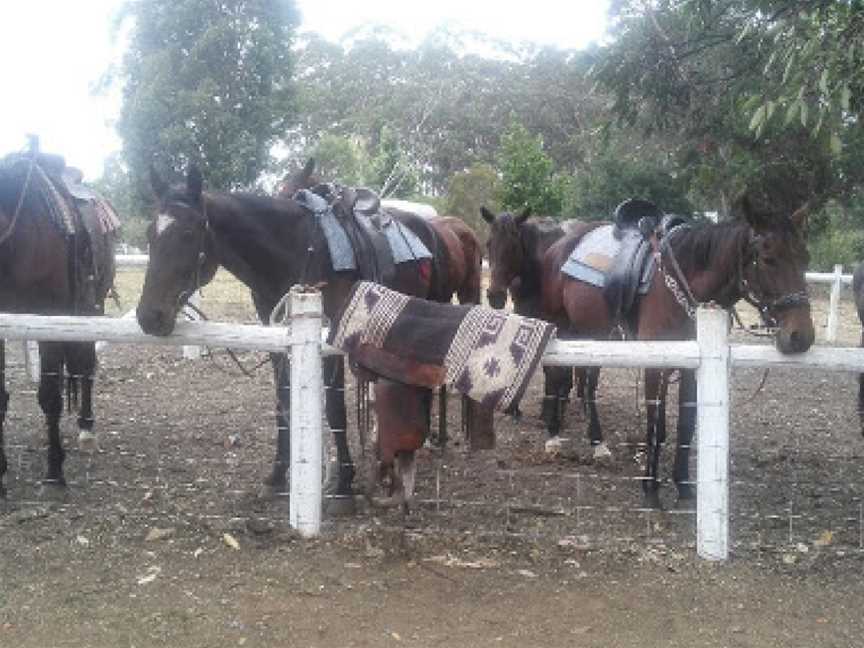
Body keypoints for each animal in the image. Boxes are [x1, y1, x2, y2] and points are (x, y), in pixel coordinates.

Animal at [0, 149, 117, 494]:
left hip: (92, 307)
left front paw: (54, 469)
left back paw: (86, 428)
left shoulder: (47, 316)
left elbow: (50, 395)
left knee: (86, 365)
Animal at [136, 165, 472, 512]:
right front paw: (277, 474)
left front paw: (344, 485)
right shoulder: (276, 337)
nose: (149, 316)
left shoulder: (332, 341)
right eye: (150, 234)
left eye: (189, 234)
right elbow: (283, 401)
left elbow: (335, 409)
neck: (294, 251)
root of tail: (432, 229)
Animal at [544, 195, 812, 508]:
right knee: (556, 375)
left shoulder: (691, 369)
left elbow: (686, 426)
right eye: (769, 259)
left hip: (596, 337)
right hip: (559, 329)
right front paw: (650, 489)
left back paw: (598, 445)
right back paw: (553, 436)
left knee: (587, 385)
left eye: (805, 259)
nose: (801, 337)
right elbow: (656, 427)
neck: (678, 282)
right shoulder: (655, 368)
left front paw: (684, 487)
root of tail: (564, 242)